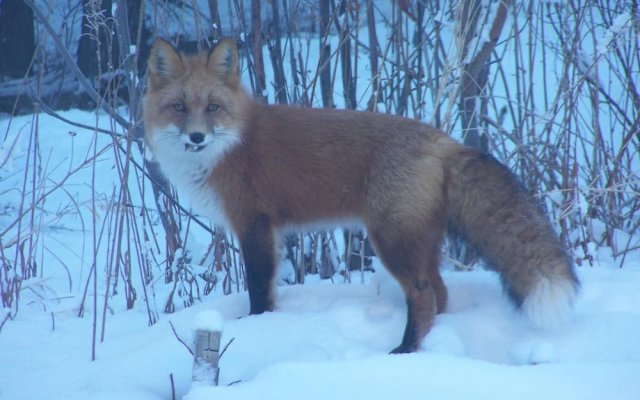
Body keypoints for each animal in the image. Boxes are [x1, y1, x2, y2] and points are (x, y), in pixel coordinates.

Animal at [145, 38, 580, 354]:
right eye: (179, 107)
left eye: (213, 107)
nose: (196, 137)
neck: (229, 147)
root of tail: (445, 141)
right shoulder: (270, 231)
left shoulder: (254, 224)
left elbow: (258, 289)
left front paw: (257, 327)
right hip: (421, 243)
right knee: (440, 294)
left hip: (391, 241)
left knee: (423, 295)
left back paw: (404, 350)